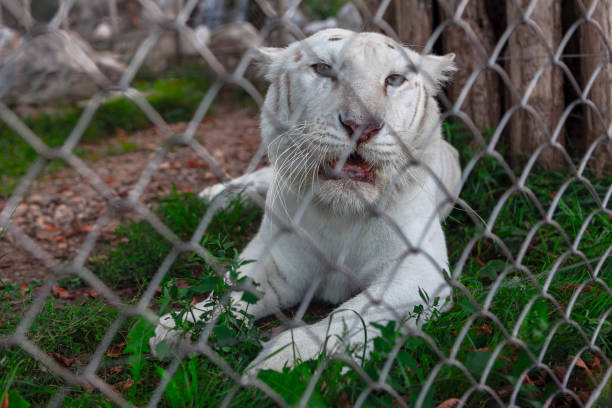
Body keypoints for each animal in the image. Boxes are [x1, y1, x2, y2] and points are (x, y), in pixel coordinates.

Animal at [151, 27, 462, 372]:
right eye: (324, 69)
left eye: (394, 79)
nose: (362, 125)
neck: (341, 213)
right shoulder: (278, 260)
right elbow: (233, 292)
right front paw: (180, 326)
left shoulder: (418, 271)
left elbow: (352, 315)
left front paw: (284, 359)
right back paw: (213, 197)